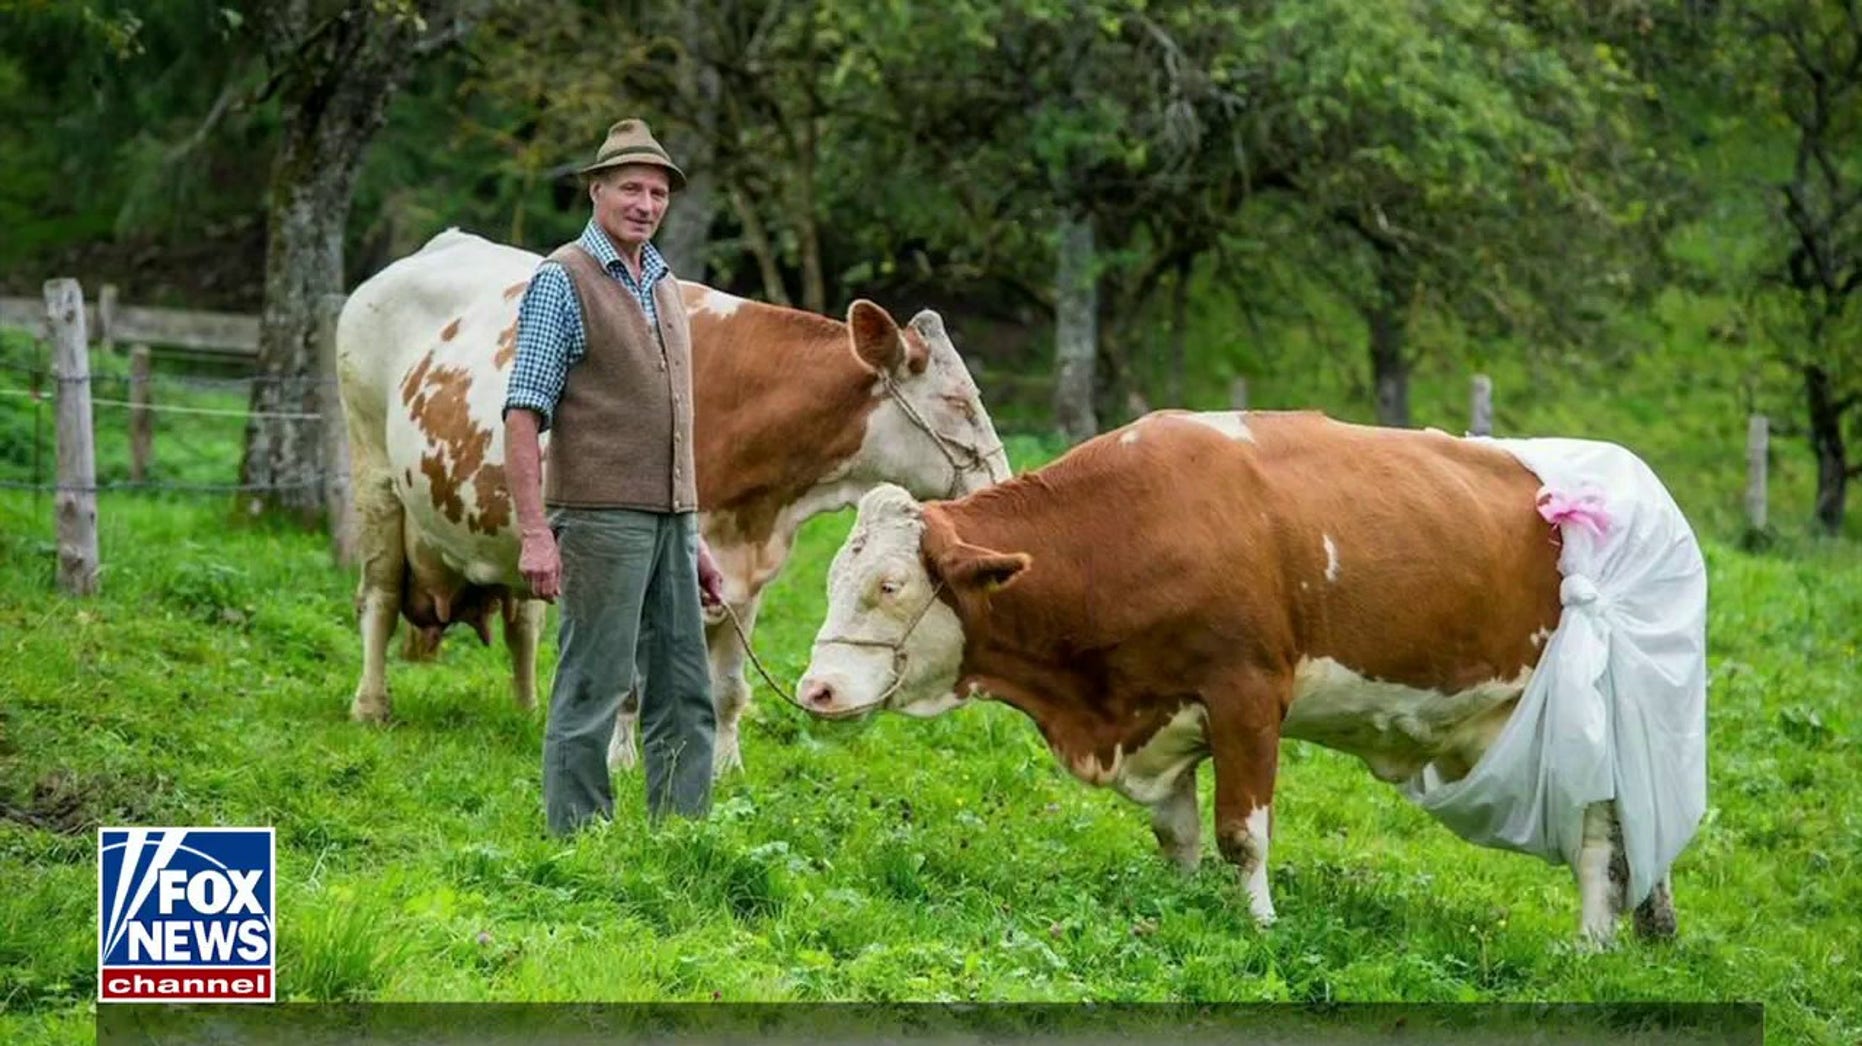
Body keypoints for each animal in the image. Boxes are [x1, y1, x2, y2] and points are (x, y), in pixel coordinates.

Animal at [335, 228, 1010, 773]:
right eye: (957, 402)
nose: (999, 483)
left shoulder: (748, 577)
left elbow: (728, 687)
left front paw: (725, 769)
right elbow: (631, 683)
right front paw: (622, 762)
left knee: (523, 621)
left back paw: (528, 711)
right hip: (373, 474)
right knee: (380, 596)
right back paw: (371, 706)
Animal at [794, 409, 1707, 945]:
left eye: (891, 585)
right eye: (834, 576)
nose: (817, 690)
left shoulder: (1248, 695)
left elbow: (1243, 831)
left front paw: (1261, 923)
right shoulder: (1156, 711)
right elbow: (1179, 833)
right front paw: (1182, 904)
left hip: (1590, 722)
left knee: (1597, 839)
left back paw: (1589, 944)